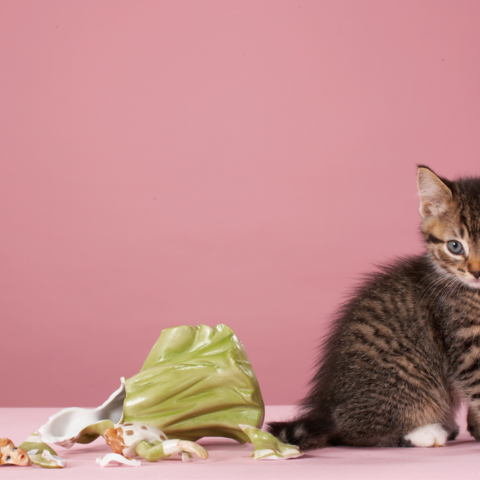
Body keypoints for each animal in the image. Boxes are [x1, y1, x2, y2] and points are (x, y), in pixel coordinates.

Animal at [270, 167, 480, 448]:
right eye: (455, 246)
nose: (476, 273)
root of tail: (325, 405)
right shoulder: (465, 341)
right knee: (349, 432)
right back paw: (425, 433)